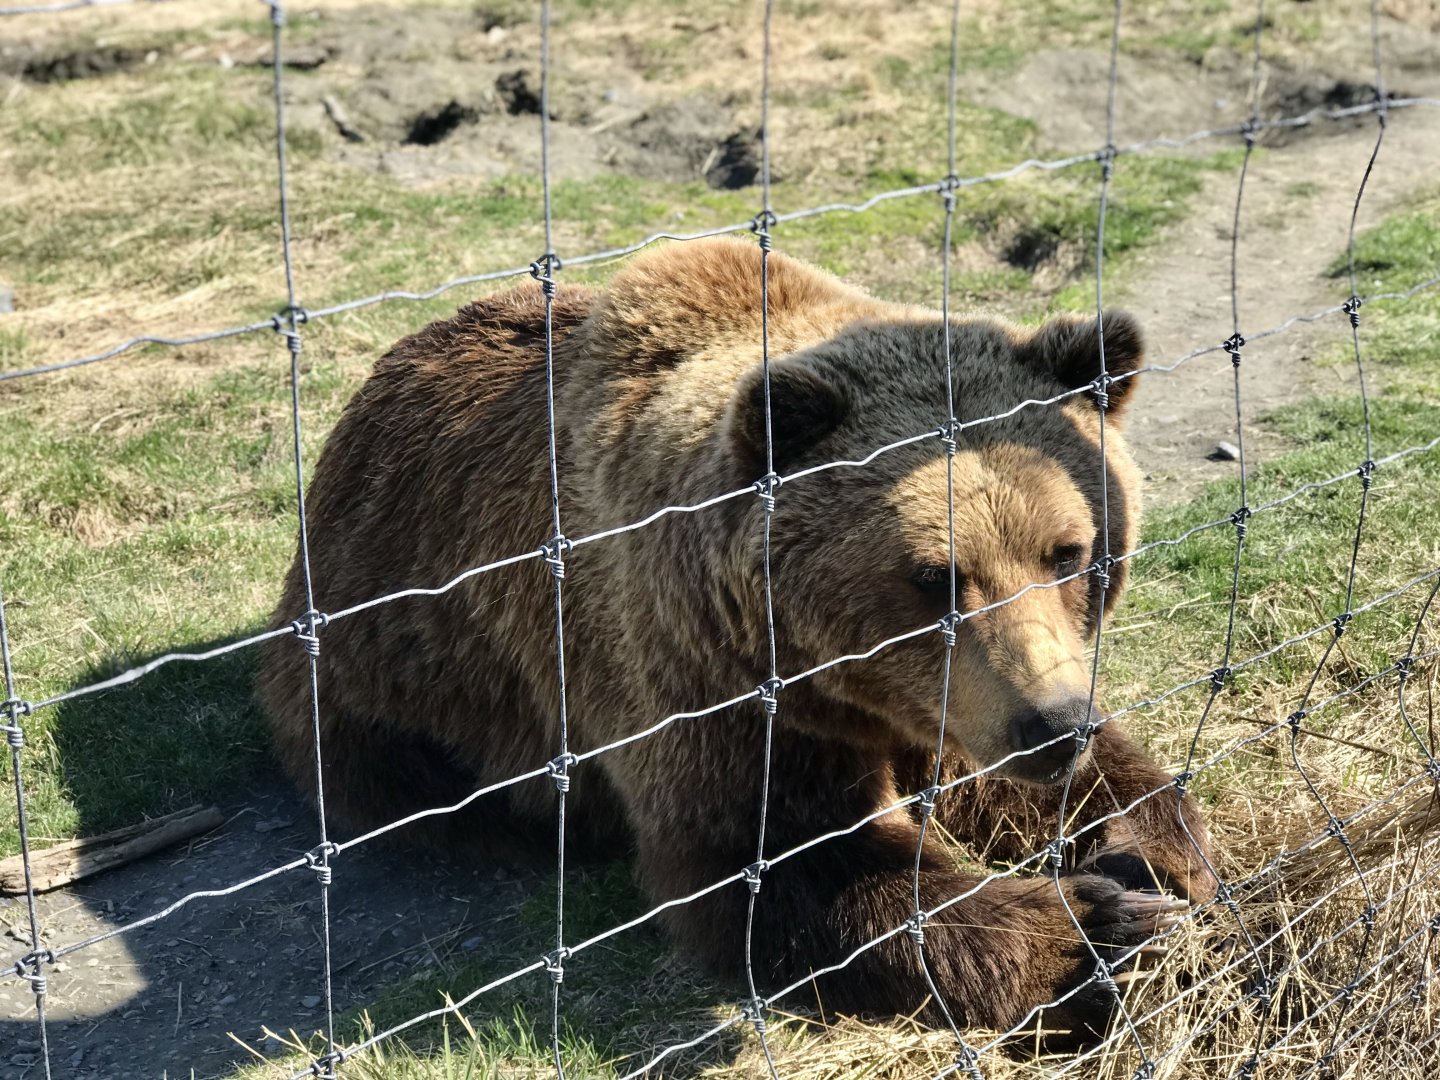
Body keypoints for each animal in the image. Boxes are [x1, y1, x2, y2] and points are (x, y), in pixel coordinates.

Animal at [260, 236, 1217, 1041]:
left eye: (1068, 551)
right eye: (935, 576)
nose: (1053, 726)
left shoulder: (934, 701)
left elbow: (1019, 779)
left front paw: (1154, 860)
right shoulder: (693, 678)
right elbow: (783, 865)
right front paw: (1095, 929)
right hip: (388, 674)